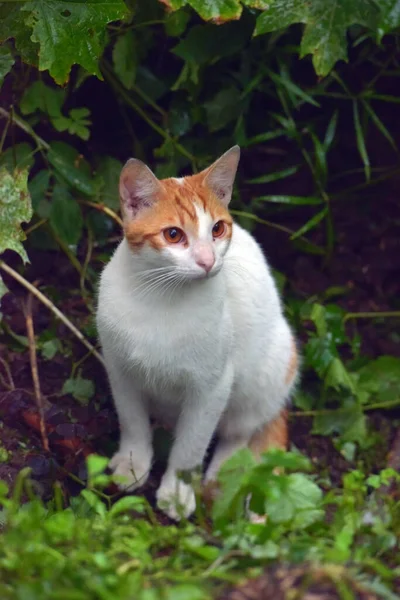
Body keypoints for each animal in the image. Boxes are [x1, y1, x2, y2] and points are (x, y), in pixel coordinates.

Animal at [96, 146, 296, 520]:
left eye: (217, 229)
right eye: (173, 235)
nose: (207, 260)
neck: (162, 300)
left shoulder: (212, 388)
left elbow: (191, 446)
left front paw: (177, 492)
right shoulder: (120, 370)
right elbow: (132, 421)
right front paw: (133, 463)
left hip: (268, 372)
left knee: (238, 435)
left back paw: (222, 474)